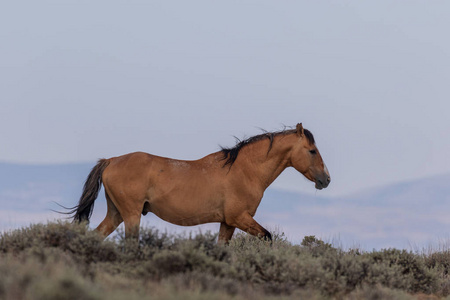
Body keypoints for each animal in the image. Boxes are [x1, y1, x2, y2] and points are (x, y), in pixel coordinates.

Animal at [70, 124, 330, 244]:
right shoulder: (240, 218)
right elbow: (267, 236)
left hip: (116, 213)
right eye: (312, 150)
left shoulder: (228, 223)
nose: (326, 179)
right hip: (131, 214)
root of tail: (111, 160)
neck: (245, 171)